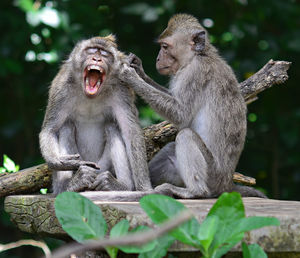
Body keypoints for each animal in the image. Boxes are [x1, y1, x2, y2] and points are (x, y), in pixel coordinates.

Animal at [39, 34, 152, 196]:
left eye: (105, 54)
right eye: (91, 50)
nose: (97, 59)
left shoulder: (122, 89)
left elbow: (131, 132)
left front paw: (145, 188)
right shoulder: (61, 88)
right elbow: (50, 130)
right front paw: (60, 162)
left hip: (101, 166)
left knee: (112, 126)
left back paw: (120, 185)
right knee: (66, 126)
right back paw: (70, 185)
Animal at [118, 14, 266, 199]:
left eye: (165, 47)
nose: (158, 59)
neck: (199, 55)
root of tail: (227, 185)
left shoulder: (194, 73)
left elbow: (180, 114)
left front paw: (131, 76)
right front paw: (139, 70)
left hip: (212, 176)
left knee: (186, 135)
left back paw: (194, 192)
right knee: (171, 147)